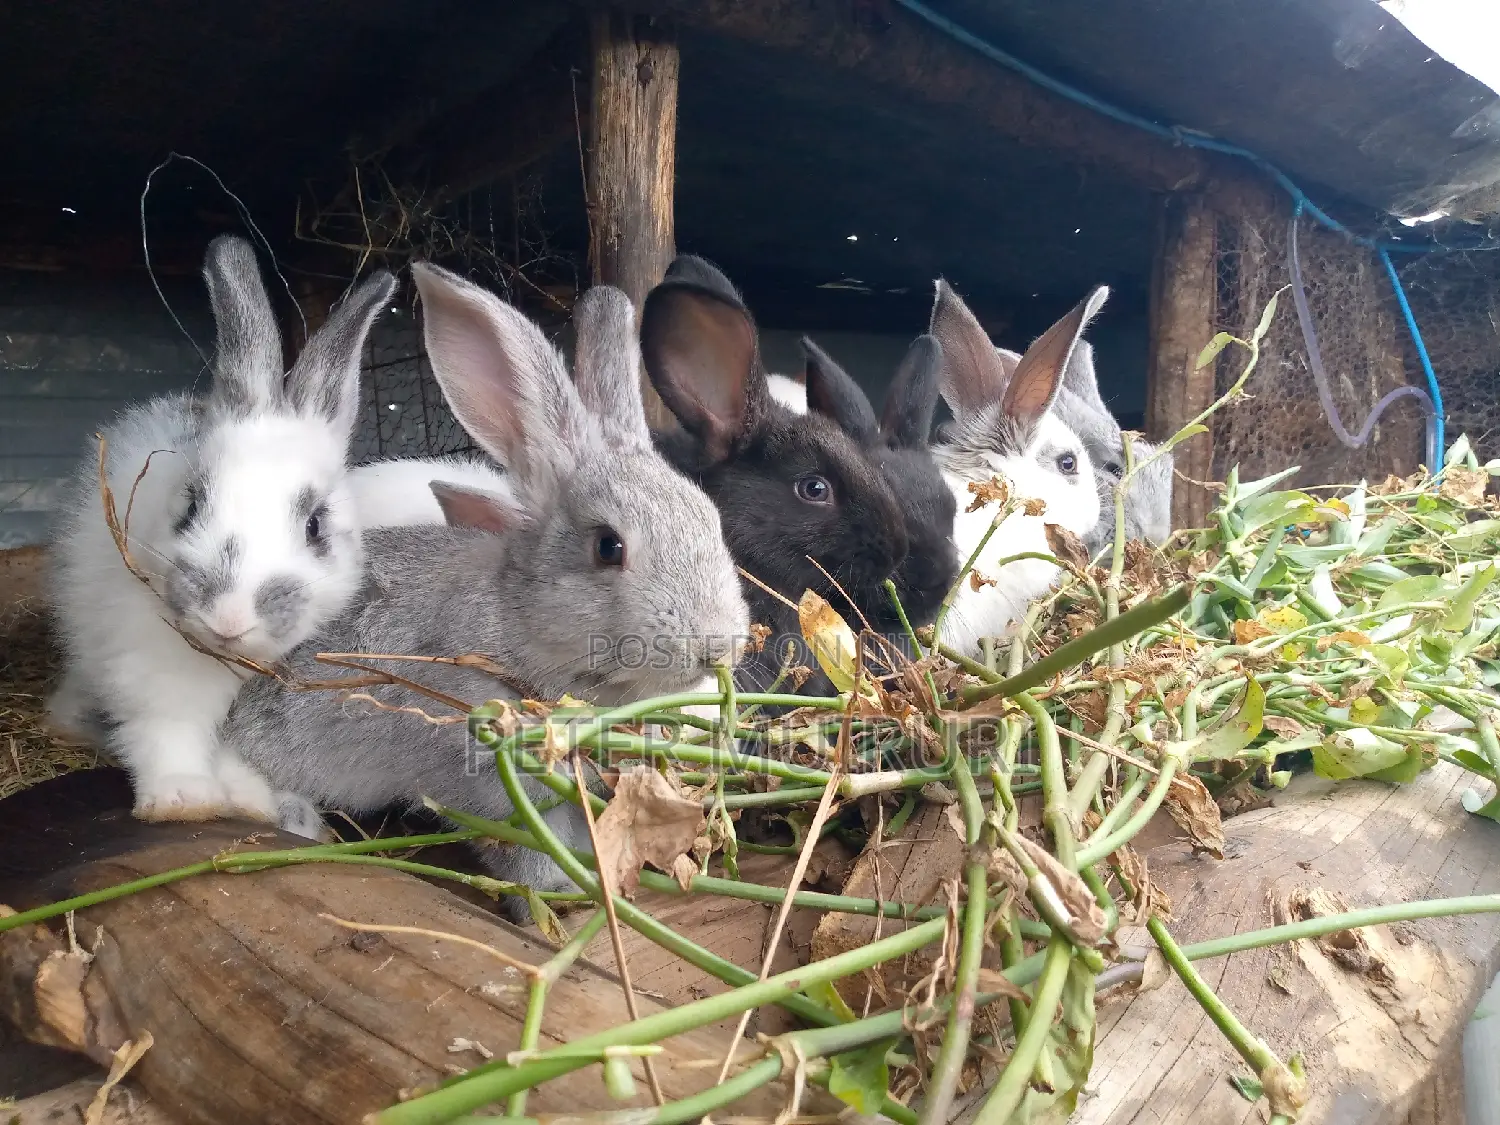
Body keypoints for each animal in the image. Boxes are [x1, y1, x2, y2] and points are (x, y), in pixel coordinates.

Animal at [46, 234, 395, 824]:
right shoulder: (152, 677)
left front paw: (256, 807)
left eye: (315, 526)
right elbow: (169, 735)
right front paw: (183, 802)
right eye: (190, 506)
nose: (230, 615)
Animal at [218, 267, 750, 909]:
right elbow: (525, 845)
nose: (718, 646)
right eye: (608, 547)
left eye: (711, 519)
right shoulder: (487, 779)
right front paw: (557, 891)